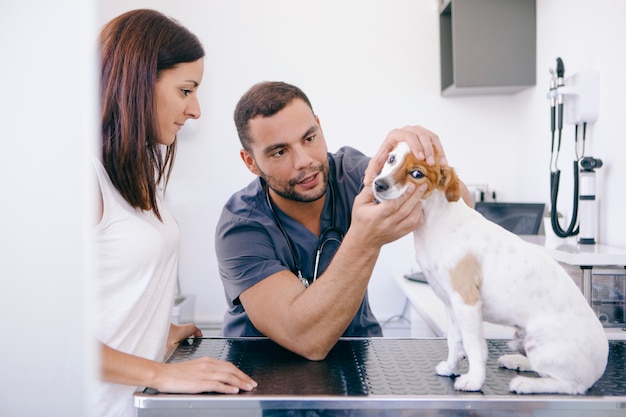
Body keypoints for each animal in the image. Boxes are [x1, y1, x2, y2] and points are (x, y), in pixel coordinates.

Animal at [370, 141, 604, 392]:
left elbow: (474, 348)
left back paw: (526, 384)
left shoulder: (468, 303)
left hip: (542, 345)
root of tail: (600, 364)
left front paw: (474, 380)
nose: (379, 184)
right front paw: (451, 367)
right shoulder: (452, 306)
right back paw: (518, 361)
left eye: (416, 174)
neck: (437, 222)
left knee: (570, 385)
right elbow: (454, 342)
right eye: (392, 159)